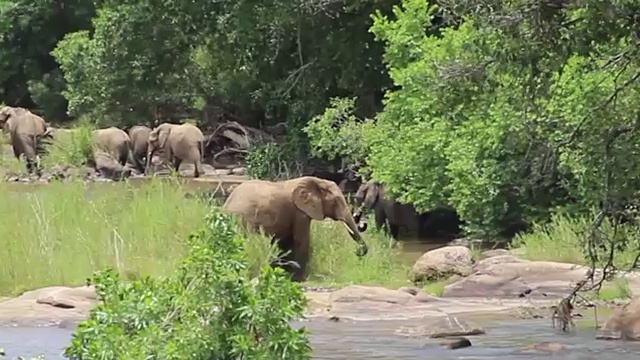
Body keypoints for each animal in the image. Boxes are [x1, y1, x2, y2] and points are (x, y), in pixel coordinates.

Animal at [221, 175, 368, 282]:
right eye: (335, 202)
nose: (358, 252)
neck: (316, 181)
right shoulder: (299, 212)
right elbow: (300, 240)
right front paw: (300, 279)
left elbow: (286, 242)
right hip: (243, 220)